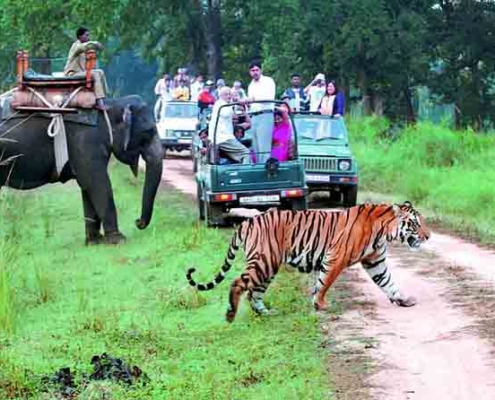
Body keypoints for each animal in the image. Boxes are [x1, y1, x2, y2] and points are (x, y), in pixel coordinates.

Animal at [0, 94, 167, 244]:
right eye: (149, 131)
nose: (137, 222)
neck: (110, 105)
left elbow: (87, 187)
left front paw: (94, 241)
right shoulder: (86, 140)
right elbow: (97, 183)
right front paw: (119, 240)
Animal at [186, 202, 430, 324]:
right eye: (415, 224)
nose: (428, 236)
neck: (384, 231)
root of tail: (248, 221)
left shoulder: (375, 261)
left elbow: (387, 282)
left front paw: (403, 299)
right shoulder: (336, 258)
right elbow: (324, 282)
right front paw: (320, 304)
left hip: (268, 266)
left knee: (253, 292)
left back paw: (265, 313)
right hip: (264, 261)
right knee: (238, 284)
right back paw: (230, 314)